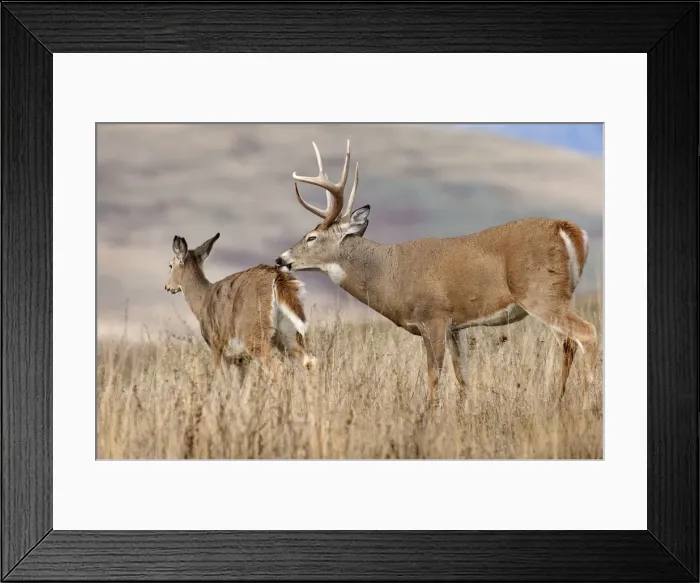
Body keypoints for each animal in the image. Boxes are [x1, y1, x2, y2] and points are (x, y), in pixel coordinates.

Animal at [165, 232, 317, 383]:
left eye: (170, 265)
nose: (167, 287)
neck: (202, 300)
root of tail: (277, 277)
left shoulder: (216, 344)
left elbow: (220, 377)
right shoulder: (240, 359)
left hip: (255, 335)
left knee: (277, 367)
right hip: (289, 333)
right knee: (309, 361)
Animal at [274, 139, 598, 410]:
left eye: (311, 237)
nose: (281, 260)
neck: (390, 272)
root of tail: (567, 229)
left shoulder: (434, 317)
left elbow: (434, 374)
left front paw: (428, 416)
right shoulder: (456, 326)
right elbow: (462, 376)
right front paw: (464, 414)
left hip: (540, 293)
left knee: (586, 333)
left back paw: (587, 404)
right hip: (558, 296)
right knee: (569, 342)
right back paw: (558, 401)